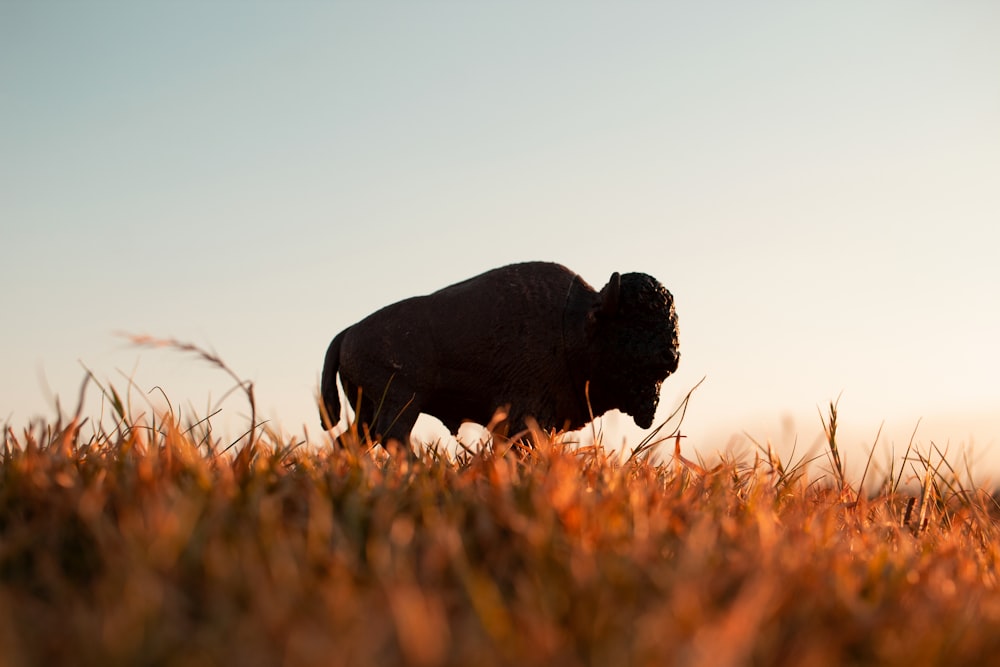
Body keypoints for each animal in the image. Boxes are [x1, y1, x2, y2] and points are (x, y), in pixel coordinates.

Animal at [320, 260, 680, 448]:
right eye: (632, 324)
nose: (671, 356)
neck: (576, 324)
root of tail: (348, 332)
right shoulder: (525, 415)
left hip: (368, 409)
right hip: (401, 402)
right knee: (393, 438)